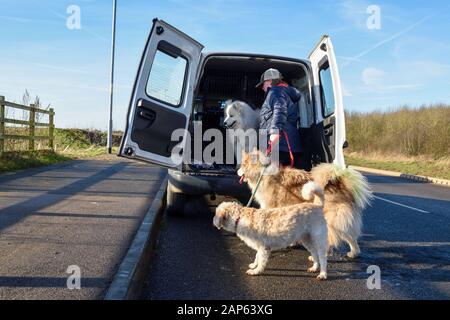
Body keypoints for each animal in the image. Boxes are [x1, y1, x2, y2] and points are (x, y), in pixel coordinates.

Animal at [237, 149, 370, 258]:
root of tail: (341, 185)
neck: (263, 173)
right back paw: (354, 253)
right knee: (350, 236)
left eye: (243, 165)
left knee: (332, 238)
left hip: (329, 219)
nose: (237, 171)